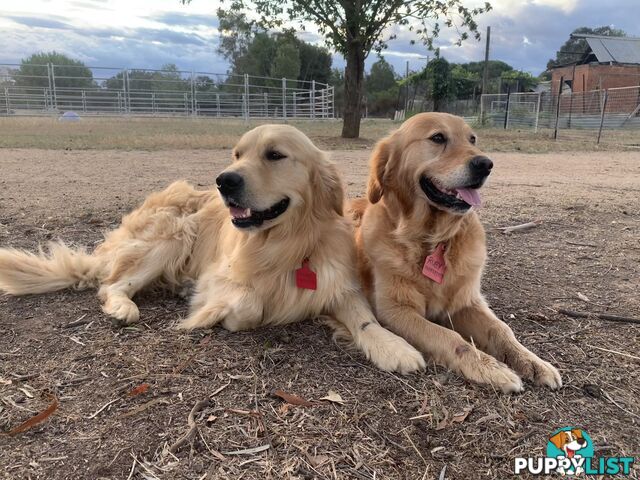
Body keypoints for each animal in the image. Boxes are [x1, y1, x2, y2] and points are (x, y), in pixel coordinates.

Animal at [1, 124, 430, 376]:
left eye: (275, 155)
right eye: (237, 154)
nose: (224, 180)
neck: (285, 243)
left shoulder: (336, 283)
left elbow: (366, 320)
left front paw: (393, 346)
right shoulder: (222, 278)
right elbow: (251, 305)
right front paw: (217, 315)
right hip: (174, 234)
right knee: (111, 285)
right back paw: (126, 306)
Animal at [350, 113, 560, 394]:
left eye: (472, 139)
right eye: (438, 137)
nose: (486, 164)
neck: (432, 239)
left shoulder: (466, 302)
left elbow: (502, 329)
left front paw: (531, 361)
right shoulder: (394, 310)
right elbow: (450, 337)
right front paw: (490, 368)